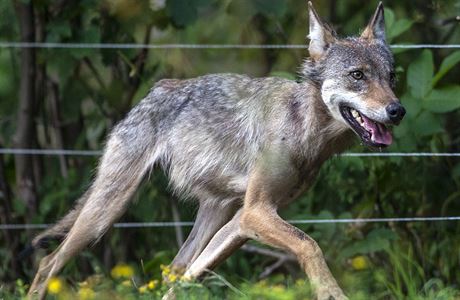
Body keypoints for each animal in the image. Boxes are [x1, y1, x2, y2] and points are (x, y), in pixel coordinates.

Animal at [27, 2, 404, 300]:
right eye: (357, 76)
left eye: (391, 78)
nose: (397, 110)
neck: (302, 127)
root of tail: (156, 89)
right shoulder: (255, 212)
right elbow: (310, 243)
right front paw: (331, 294)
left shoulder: (244, 220)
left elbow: (195, 276)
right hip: (106, 213)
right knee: (48, 263)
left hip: (212, 219)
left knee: (177, 276)